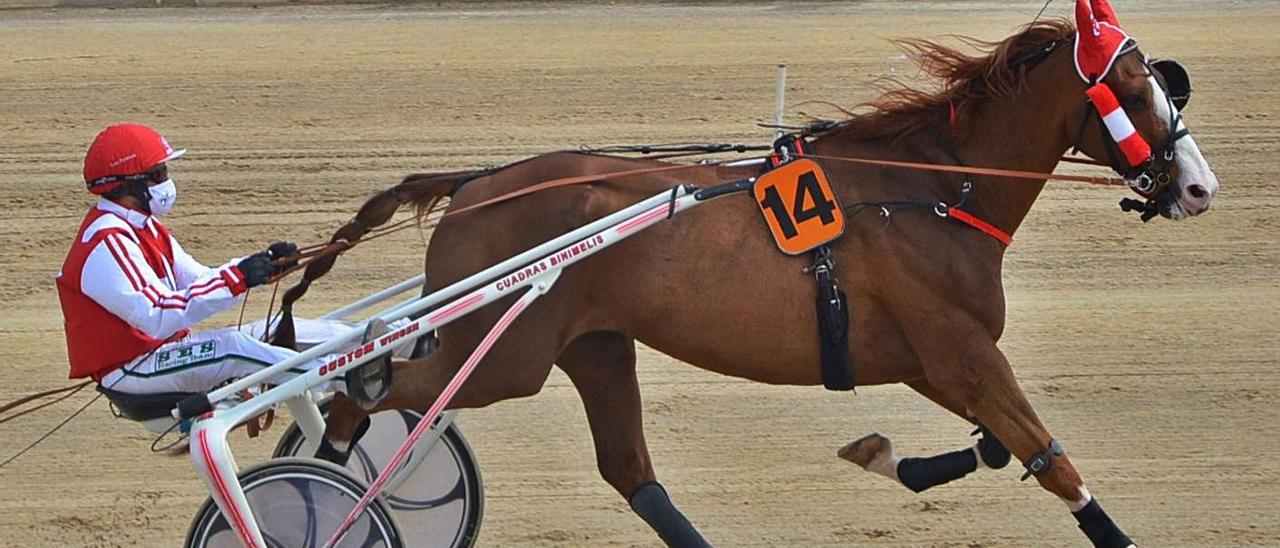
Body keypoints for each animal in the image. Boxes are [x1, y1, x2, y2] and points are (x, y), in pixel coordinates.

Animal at [290, 14, 1218, 545]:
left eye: (1160, 80)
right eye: (1133, 87)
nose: (1199, 187)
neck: (930, 189)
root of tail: (475, 185)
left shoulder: (929, 360)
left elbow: (996, 448)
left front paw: (882, 453)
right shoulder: (961, 353)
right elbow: (1054, 465)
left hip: (594, 346)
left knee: (631, 473)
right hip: (501, 356)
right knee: (359, 394)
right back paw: (324, 494)